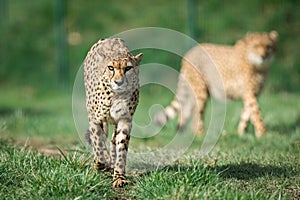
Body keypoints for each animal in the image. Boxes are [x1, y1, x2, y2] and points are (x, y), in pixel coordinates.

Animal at [82, 37, 142, 188]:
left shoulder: (124, 120)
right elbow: (98, 143)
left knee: (113, 140)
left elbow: (121, 146)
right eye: (111, 68)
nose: (118, 82)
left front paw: (119, 177)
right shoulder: (95, 119)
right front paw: (102, 164)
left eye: (128, 68)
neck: (115, 95)